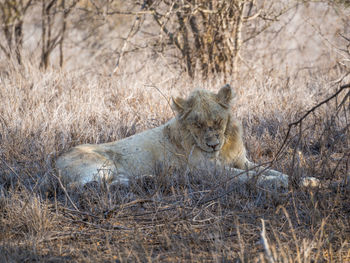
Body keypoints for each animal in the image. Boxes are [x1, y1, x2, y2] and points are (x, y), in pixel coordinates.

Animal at [56, 85, 290, 191]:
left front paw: (291, 177)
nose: (213, 145)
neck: (225, 146)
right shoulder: (209, 171)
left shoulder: (242, 160)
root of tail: (54, 161)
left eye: (217, 121)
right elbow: (250, 176)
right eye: (197, 124)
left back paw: (145, 180)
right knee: (84, 186)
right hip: (103, 166)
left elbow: (266, 169)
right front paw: (281, 183)